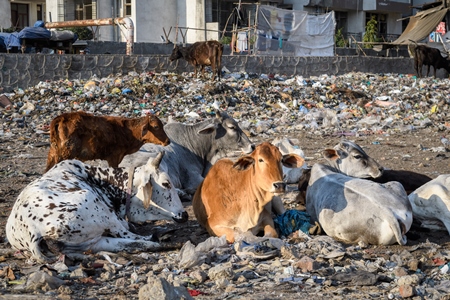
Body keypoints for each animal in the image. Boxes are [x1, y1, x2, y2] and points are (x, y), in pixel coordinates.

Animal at [5, 152, 188, 262]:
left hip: (93, 241)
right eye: (166, 183)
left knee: (135, 243)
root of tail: (32, 232)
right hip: (97, 208)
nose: (184, 215)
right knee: (137, 238)